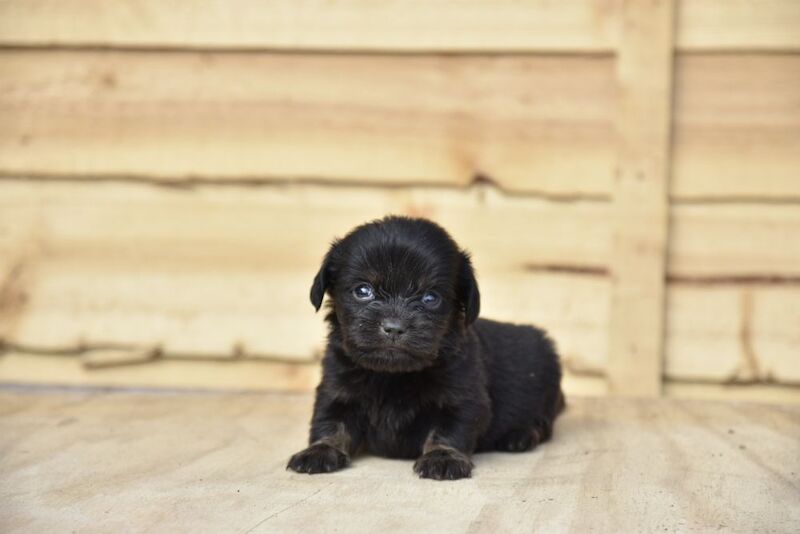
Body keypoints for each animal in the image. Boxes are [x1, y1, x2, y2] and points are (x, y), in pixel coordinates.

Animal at [288, 218, 564, 482]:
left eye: (430, 298)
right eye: (363, 291)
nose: (394, 328)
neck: (393, 375)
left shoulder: (463, 398)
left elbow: (448, 430)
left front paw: (443, 457)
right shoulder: (336, 390)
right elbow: (331, 423)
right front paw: (320, 450)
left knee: (544, 423)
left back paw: (520, 435)